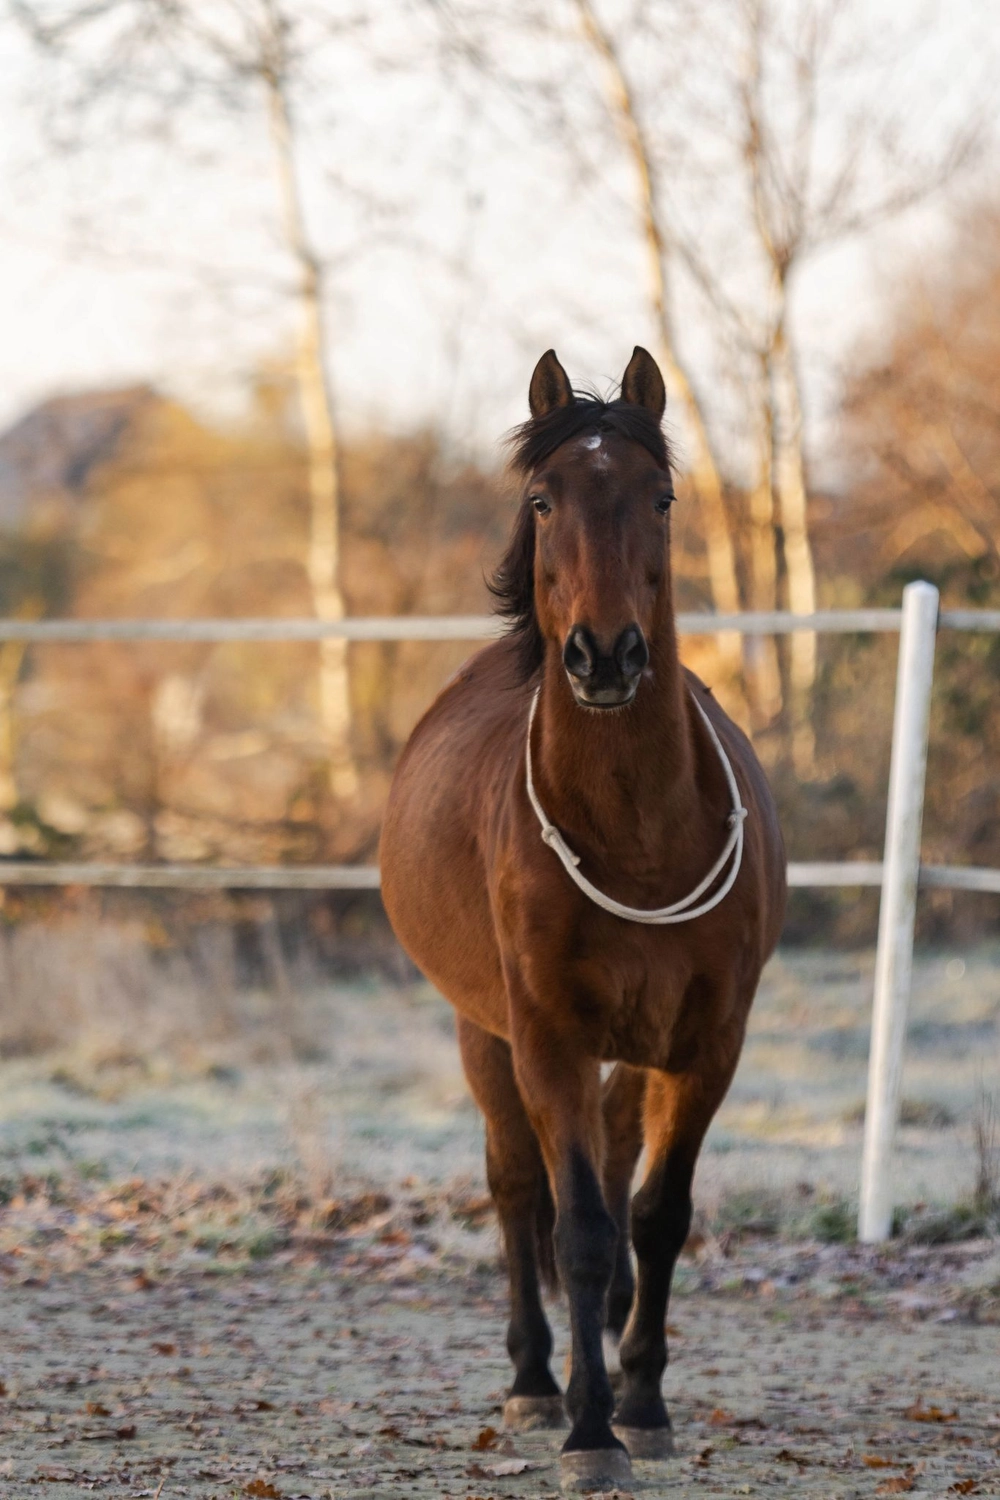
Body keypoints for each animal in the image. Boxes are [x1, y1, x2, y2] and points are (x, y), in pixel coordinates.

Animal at [380, 346, 786, 1493]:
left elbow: (656, 1216)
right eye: (542, 499)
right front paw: (588, 1429)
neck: (640, 835)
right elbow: (581, 1230)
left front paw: (641, 1402)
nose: (605, 656)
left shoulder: (705, 1043)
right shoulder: (549, 1038)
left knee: (608, 1170)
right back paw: (532, 1379)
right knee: (520, 1189)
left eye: (660, 498)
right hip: (484, 1031)